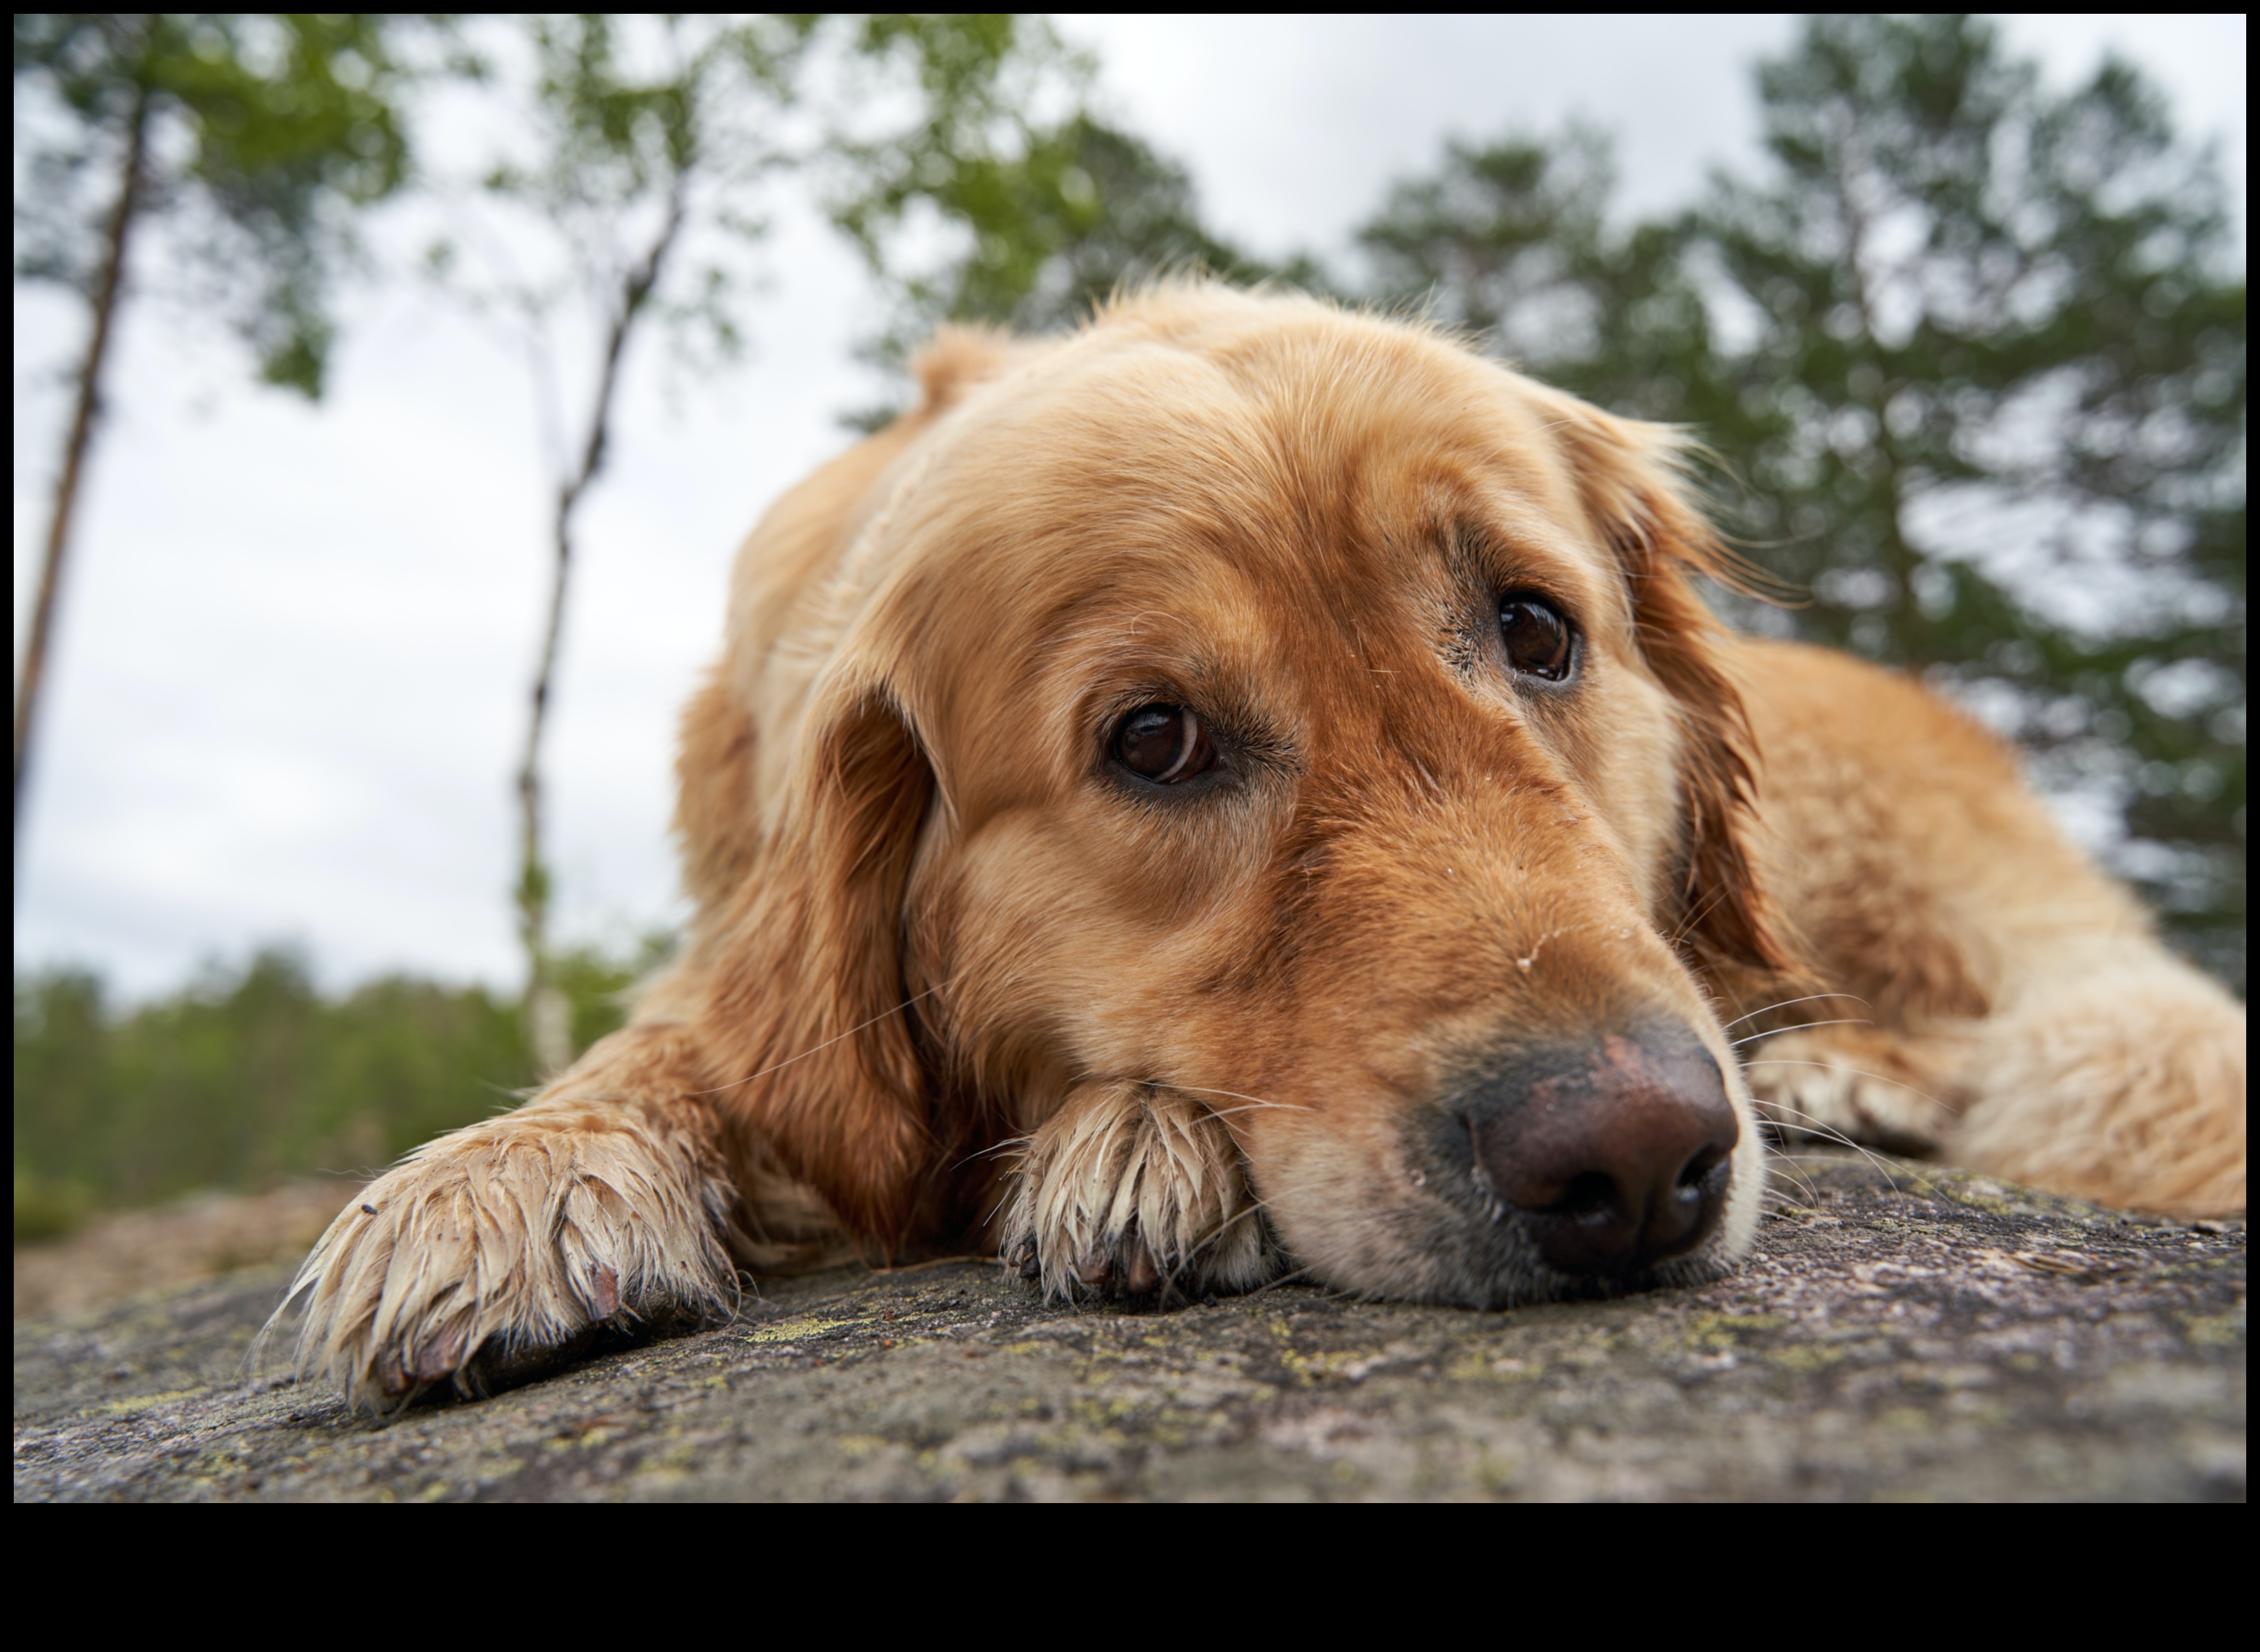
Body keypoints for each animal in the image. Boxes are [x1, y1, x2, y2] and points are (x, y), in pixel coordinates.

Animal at [264, 281, 2241, 1410]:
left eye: (1536, 631)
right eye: (1152, 740)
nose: (1635, 1162)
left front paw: (1132, 1139)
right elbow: (687, 1030)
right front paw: (515, 1170)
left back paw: (1844, 1066)